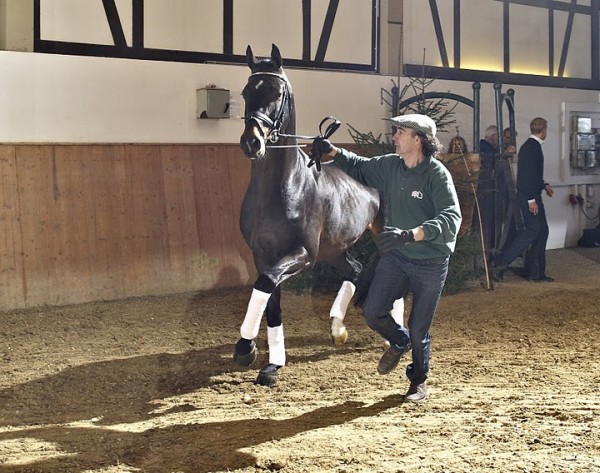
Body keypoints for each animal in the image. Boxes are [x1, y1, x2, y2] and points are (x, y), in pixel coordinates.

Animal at [233, 42, 380, 386]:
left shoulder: (302, 254)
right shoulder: (264, 254)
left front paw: (247, 348)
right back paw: (338, 330)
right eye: (247, 92)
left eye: (277, 92)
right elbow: (270, 300)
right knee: (355, 269)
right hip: (334, 249)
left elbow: (265, 283)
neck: (283, 188)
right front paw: (269, 361)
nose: (252, 142)